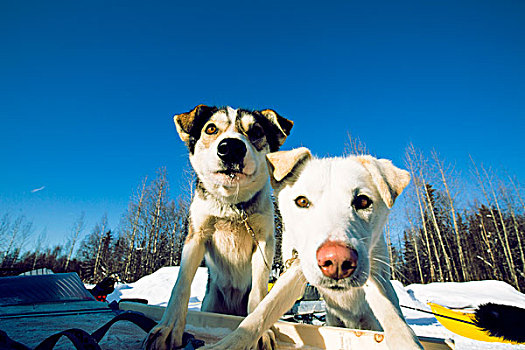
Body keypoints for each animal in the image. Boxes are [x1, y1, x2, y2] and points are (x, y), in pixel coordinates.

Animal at [144, 105, 290, 350]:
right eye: (211, 128)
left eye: (256, 131)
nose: (231, 148)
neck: (232, 205)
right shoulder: (196, 236)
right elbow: (181, 285)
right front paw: (169, 327)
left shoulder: (264, 241)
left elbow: (259, 292)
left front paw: (261, 332)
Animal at [208, 148, 422, 350]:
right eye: (302, 201)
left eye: (363, 201)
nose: (337, 261)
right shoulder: (295, 271)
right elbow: (263, 311)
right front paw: (231, 342)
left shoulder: (376, 277)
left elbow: (393, 317)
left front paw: (407, 342)